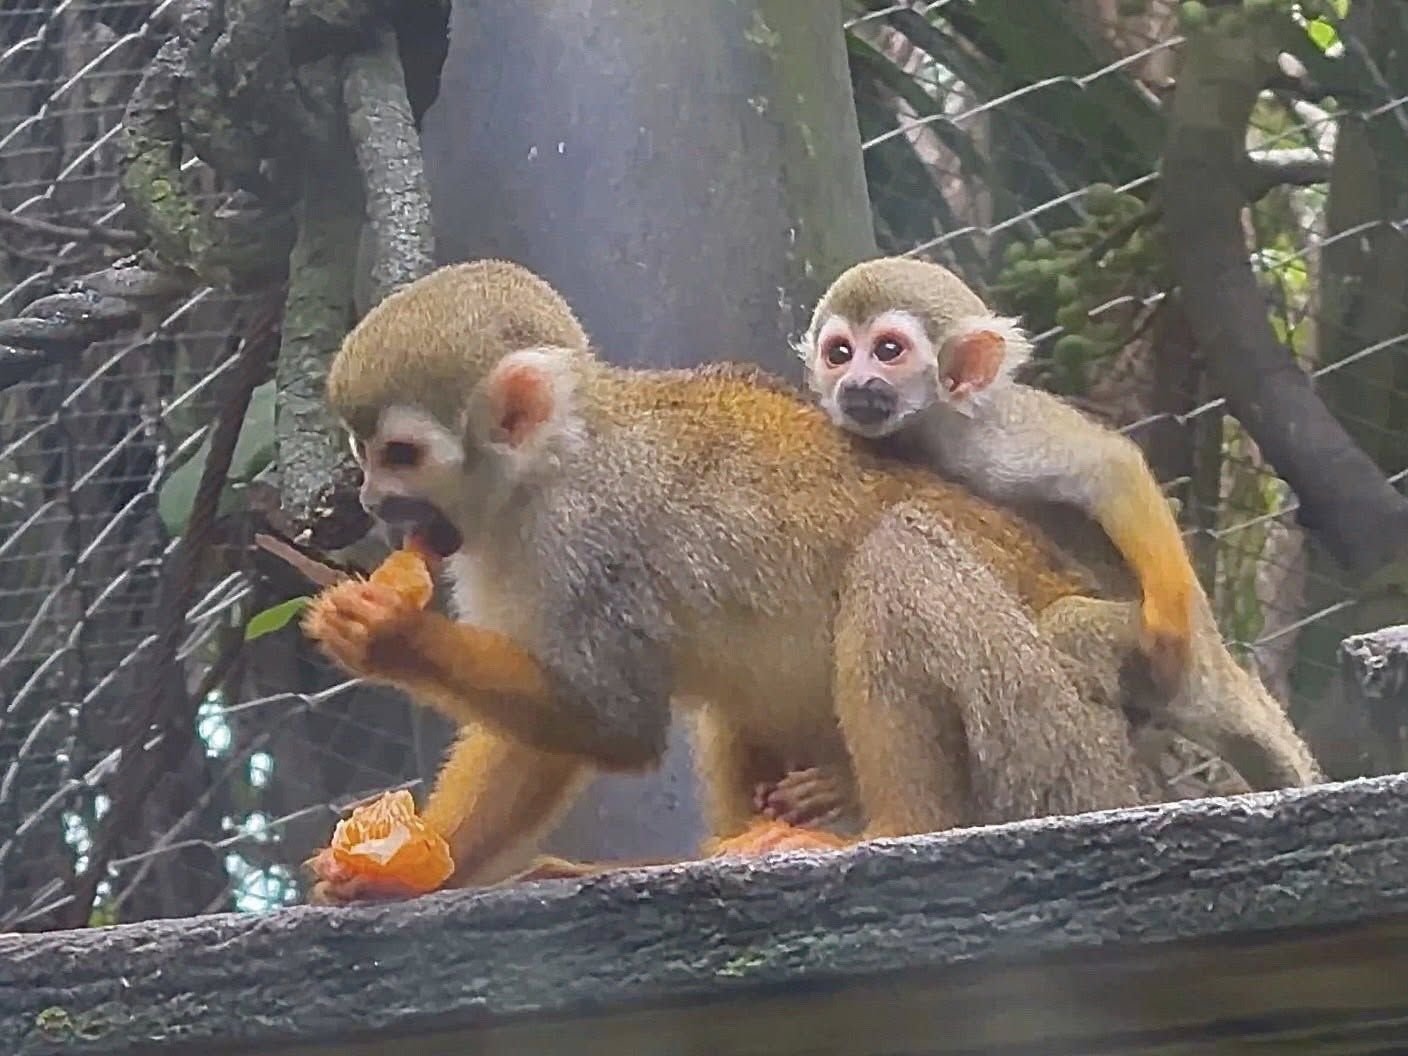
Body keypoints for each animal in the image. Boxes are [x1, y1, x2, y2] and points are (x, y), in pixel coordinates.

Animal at [300, 258, 1161, 902]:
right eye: (364, 453)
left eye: (401, 455)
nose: (371, 502)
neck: (548, 469)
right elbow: (534, 746)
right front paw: (407, 865)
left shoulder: (587, 536)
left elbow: (611, 719)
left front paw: (391, 634)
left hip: (1045, 745)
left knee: (897, 556)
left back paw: (897, 828)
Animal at [790, 255, 1322, 800]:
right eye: (839, 353)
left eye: (888, 351)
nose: (855, 383)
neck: (933, 429)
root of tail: (1214, 666)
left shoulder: (994, 441)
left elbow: (1110, 467)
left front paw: (1167, 623)